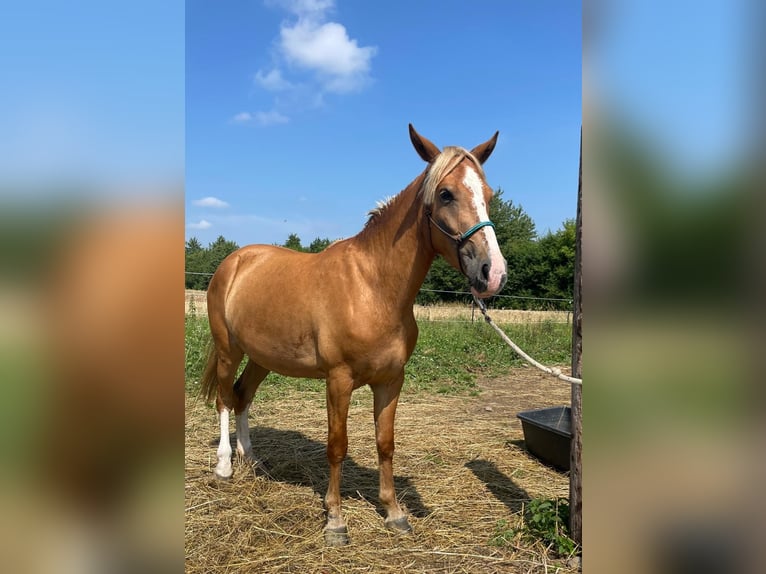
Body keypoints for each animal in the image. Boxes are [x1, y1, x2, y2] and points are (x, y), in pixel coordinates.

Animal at [200, 124, 508, 545]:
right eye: (446, 193)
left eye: (489, 195)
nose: (493, 273)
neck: (372, 288)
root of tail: (234, 261)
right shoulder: (339, 380)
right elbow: (337, 446)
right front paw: (335, 520)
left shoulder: (391, 381)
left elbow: (385, 444)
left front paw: (394, 512)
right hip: (228, 349)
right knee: (225, 400)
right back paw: (225, 467)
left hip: (263, 357)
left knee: (243, 396)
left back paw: (253, 460)